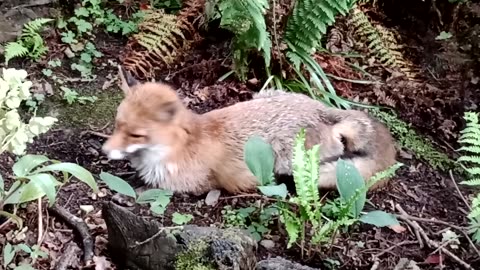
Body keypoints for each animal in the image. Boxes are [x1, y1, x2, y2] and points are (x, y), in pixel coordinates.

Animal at [103, 65, 400, 195]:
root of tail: (323, 108)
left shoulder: (192, 186)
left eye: (136, 135)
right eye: (117, 125)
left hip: (288, 159)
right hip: (266, 93)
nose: (104, 150)